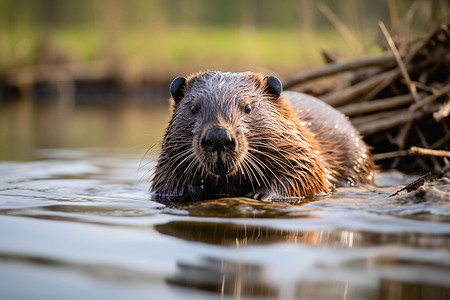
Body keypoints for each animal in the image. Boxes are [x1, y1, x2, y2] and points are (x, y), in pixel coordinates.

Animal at [149, 71, 374, 202]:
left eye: (248, 108)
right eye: (193, 108)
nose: (218, 137)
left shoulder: (301, 147)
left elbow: (306, 174)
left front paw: (261, 193)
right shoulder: (168, 160)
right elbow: (166, 182)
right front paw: (193, 192)